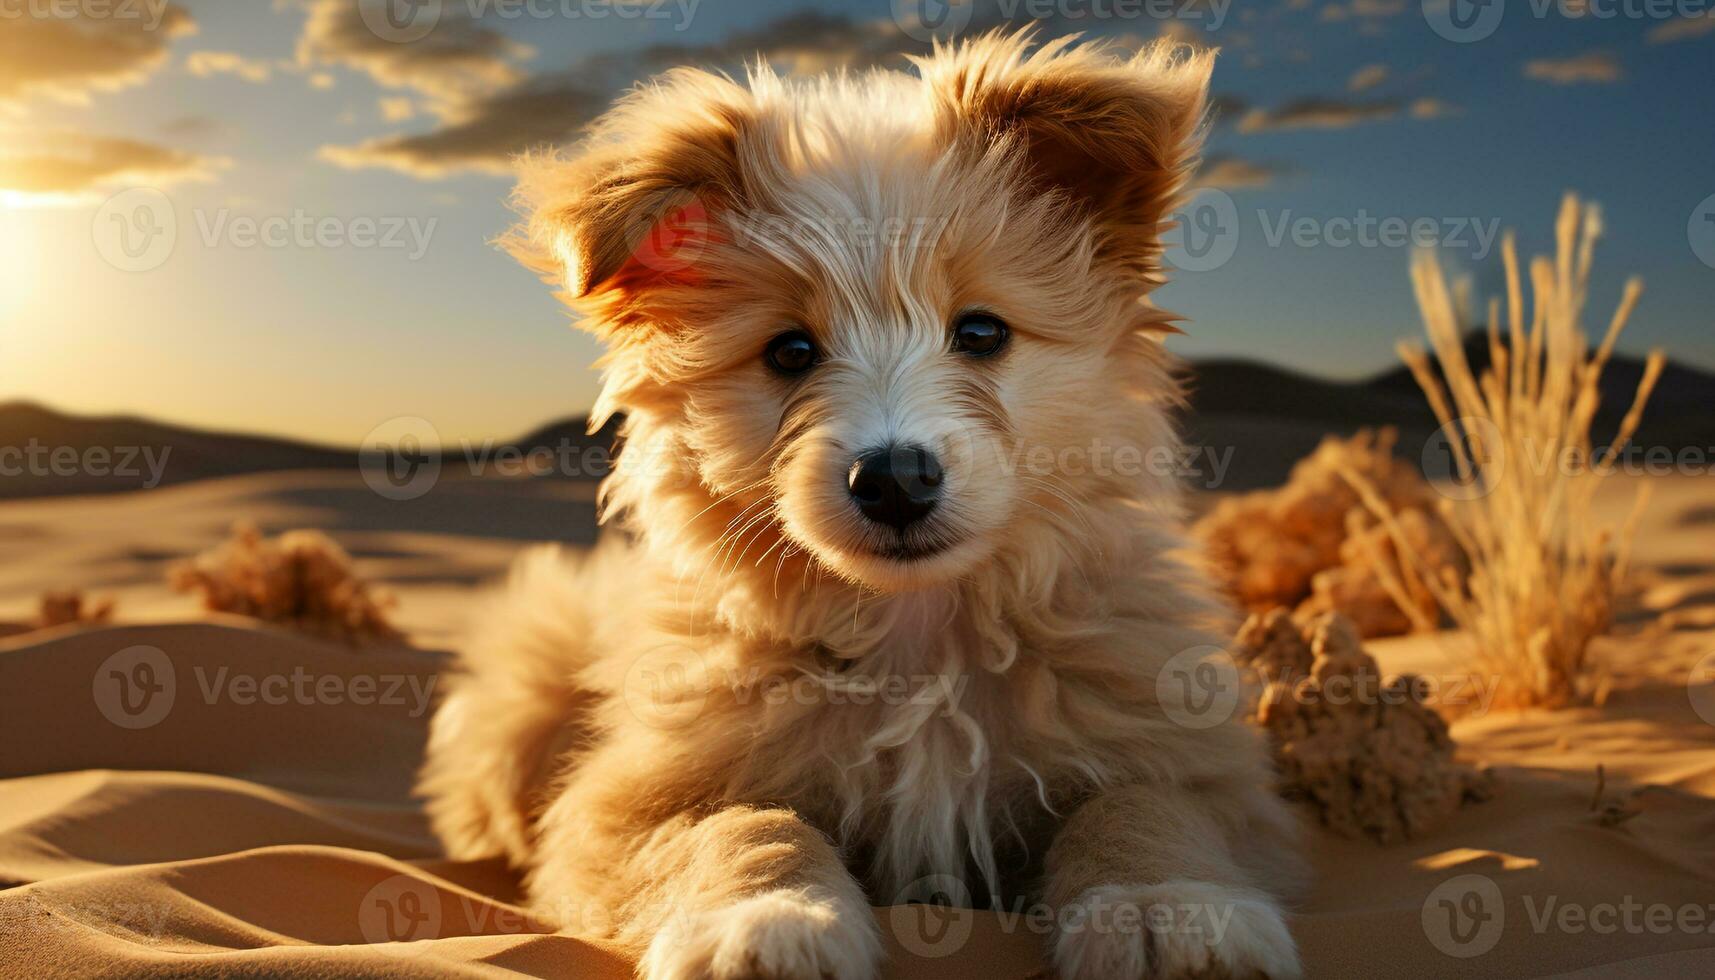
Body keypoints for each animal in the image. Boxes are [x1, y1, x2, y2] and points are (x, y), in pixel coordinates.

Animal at [421, 30, 1303, 980]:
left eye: (982, 331)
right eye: (789, 351)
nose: (895, 479)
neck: (914, 638)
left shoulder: (1206, 772)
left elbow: (1140, 807)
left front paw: (1162, 909)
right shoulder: (621, 805)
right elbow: (739, 825)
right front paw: (764, 917)